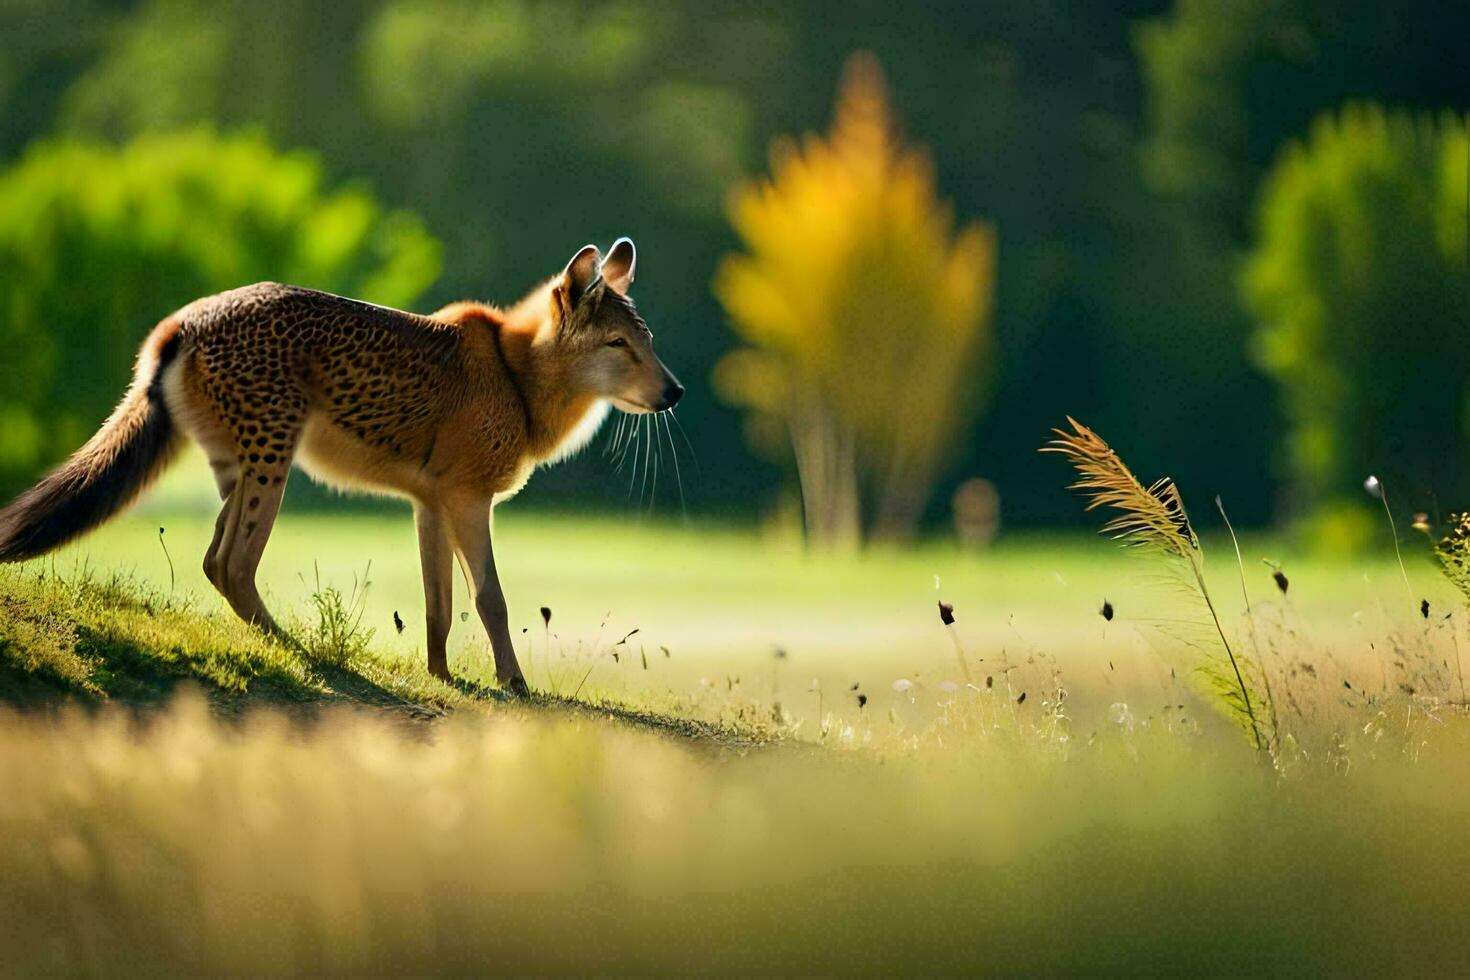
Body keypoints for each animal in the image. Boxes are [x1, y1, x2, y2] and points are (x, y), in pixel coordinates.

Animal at [0, 240, 682, 693]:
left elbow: (437, 607)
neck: (517, 376)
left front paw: (441, 678)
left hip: (241, 471)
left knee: (216, 561)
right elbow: (491, 600)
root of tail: (186, 319)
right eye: (619, 344)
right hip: (271, 467)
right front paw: (513, 684)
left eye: (647, 341)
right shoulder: (468, 502)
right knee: (233, 563)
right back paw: (300, 651)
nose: (674, 392)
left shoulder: (431, 505)